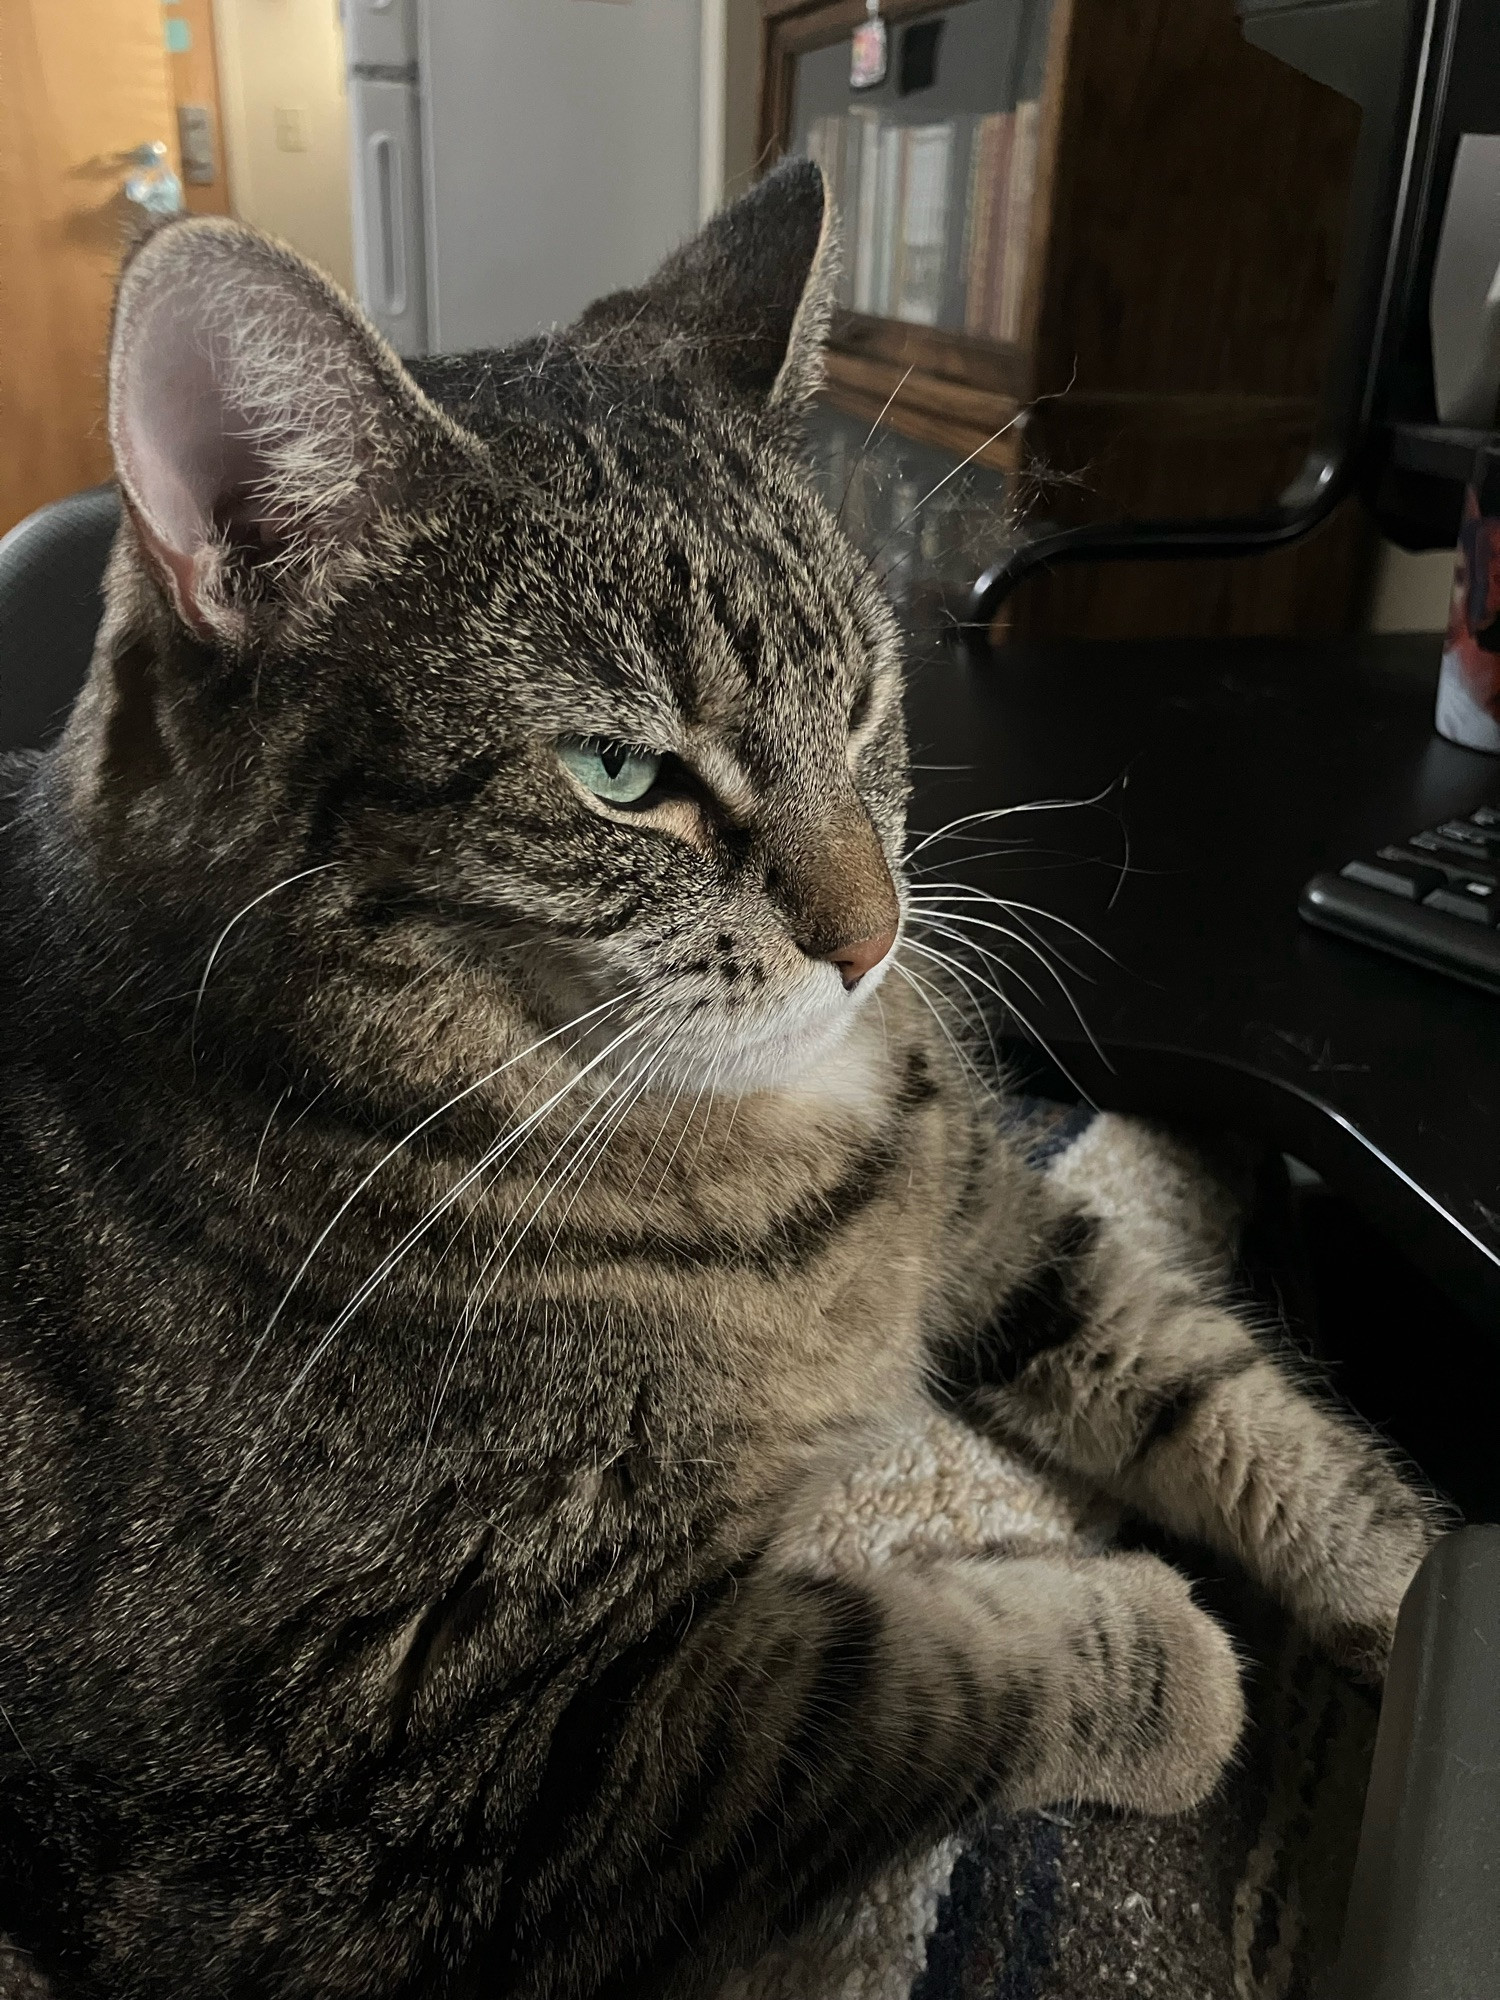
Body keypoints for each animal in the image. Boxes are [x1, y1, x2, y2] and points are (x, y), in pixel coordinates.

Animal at [0, 164, 1432, 1992]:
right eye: (623, 774)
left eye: (870, 698)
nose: (878, 939)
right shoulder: (418, 1781)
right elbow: (901, 1685)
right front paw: (1158, 1657)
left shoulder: (994, 1214)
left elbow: (1223, 1389)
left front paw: (1408, 1593)